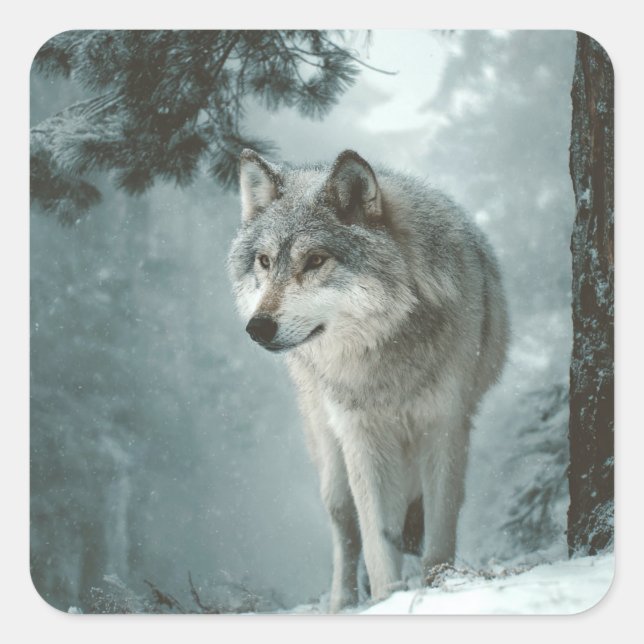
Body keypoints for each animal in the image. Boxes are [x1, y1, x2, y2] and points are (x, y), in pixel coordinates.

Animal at [228, 149, 508, 612]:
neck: (386, 354)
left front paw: (438, 585)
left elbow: (440, 531)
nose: (257, 327)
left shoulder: (446, 427)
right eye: (264, 262)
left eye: (315, 261)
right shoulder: (361, 434)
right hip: (329, 451)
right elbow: (376, 537)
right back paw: (341, 602)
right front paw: (387, 598)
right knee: (345, 527)